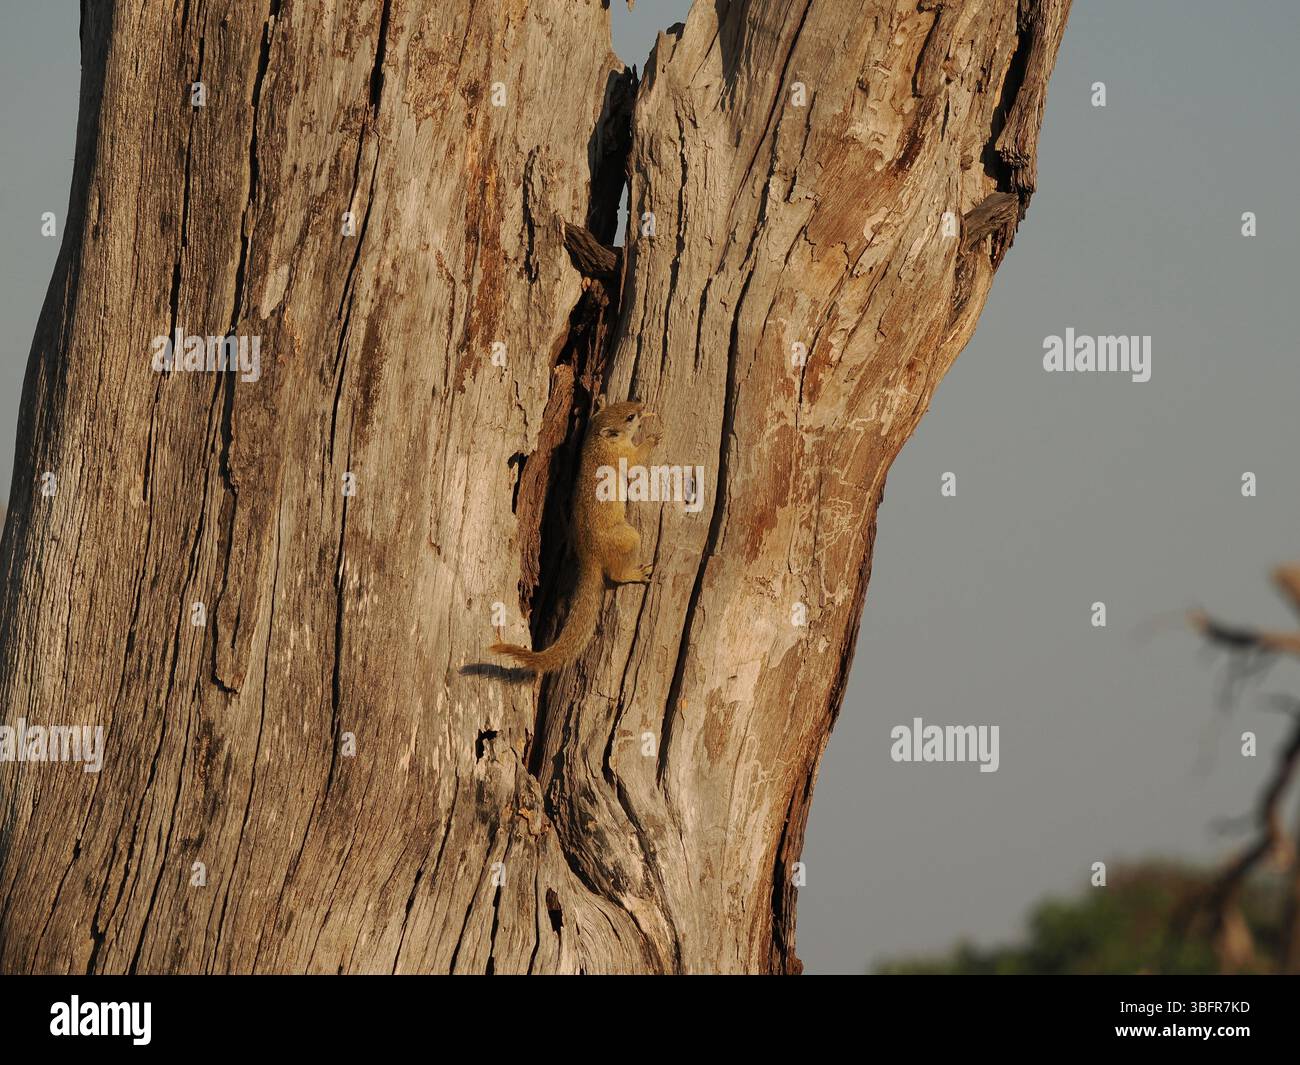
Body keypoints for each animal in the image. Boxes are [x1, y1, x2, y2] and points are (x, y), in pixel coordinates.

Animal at [491, 399, 660, 674]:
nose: (642, 405)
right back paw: (637, 573)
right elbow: (636, 461)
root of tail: (589, 556)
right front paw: (653, 439)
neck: (598, 442)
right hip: (629, 537)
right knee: (617, 574)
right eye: (630, 417)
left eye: (625, 403)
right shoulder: (623, 457)